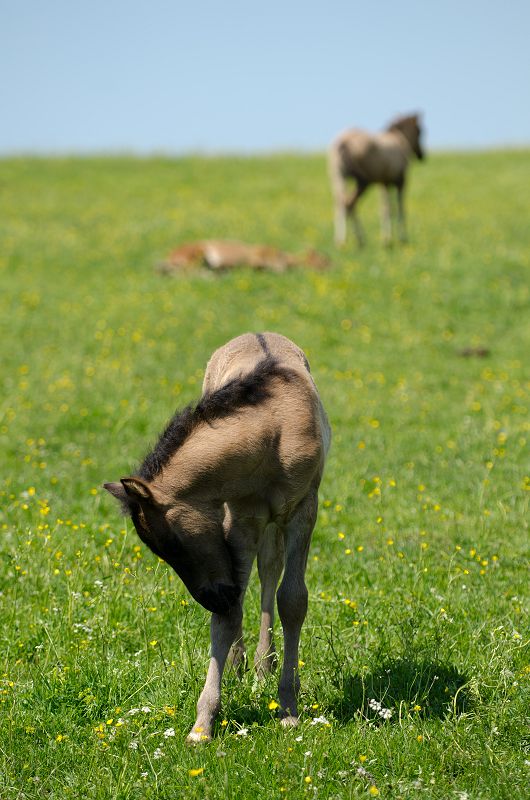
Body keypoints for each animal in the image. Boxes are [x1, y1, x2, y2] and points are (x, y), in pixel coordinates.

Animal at [104, 332, 331, 743]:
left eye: (171, 543)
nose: (212, 597)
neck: (271, 435)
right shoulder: (240, 517)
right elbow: (229, 615)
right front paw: (203, 722)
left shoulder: (304, 509)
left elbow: (292, 600)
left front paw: (289, 708)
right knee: (258, 576)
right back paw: (244, 662)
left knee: (270, 571)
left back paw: (263, 664)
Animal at [328, 113, 424, 246]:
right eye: (420, 131)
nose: (422, 156)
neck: (399, 139)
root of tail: (342, 142)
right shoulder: (400, 180)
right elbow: (399, 209)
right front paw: (401, 238)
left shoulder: (383, 182)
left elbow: (386, 209)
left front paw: (387, 239)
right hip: (363, 181)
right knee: (349, 203)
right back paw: (355, 240)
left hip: (338, 177)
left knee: (340, 203)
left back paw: (342, 240)